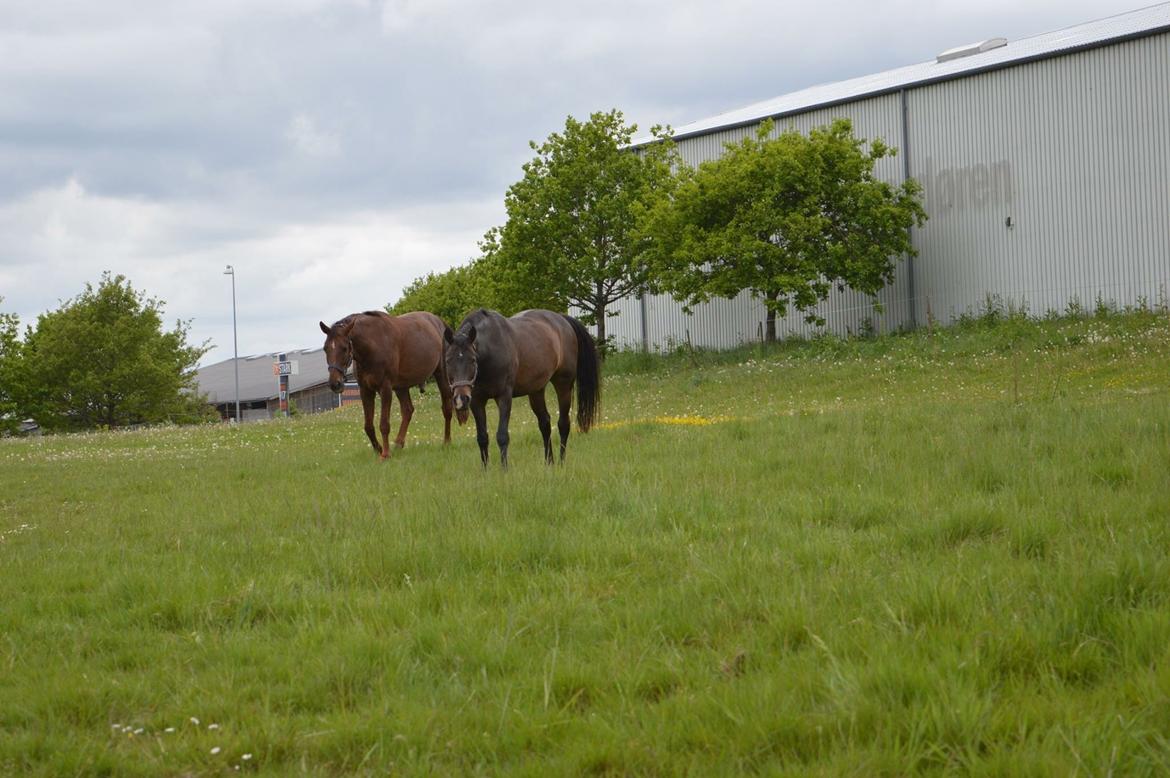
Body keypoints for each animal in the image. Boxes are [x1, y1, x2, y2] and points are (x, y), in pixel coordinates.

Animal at [318, 308, 453, 458]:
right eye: (325, 348)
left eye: (344, 348)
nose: (335, 383)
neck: (373, 346)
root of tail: (438, 321)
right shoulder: (365, 390)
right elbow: (368, 426)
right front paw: (378, 449)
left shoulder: (385, 388)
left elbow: (384, 424)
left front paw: (385, 454)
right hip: (401, 387)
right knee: (408, 410)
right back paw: (399, 443)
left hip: (441, 374)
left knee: (447, 407)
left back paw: (447, 441)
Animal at [442, 308, 599, 467]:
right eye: (448, 361)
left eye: (473, 360)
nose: (461, 399)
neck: (490, 351)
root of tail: (562, 319)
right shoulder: (476, 401)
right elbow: (482, 438)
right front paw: (485, 470)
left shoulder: (504, 397)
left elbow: (502, 436)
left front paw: (504, 469)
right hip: (536, 391)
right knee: (545, 424)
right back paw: (549, 463)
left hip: (563, 385)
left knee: (563, 424)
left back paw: (561, 462)